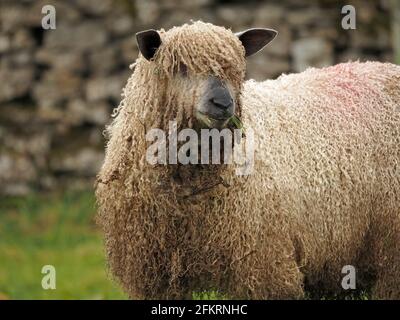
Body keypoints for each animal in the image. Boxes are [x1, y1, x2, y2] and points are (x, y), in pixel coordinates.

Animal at [96, 21, 400, 298]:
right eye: (180, 67)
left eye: (235, 69)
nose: (222, 103)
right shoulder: (152, 276)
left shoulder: (264, 266)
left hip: (390, 251)